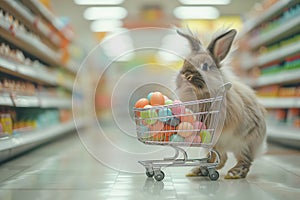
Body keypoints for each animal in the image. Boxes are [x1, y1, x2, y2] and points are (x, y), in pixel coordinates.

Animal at [176, 27, 268, 178]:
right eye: (184, 62)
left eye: (205, 66)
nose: (186, 75)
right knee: (219, 159)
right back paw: (198, 170)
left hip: (244, 143)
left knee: (244, 160)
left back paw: (233, 174)